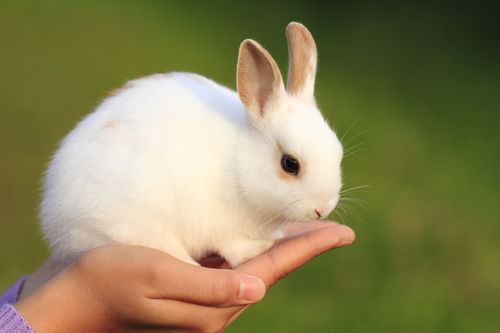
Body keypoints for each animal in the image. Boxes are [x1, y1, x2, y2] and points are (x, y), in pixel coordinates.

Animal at [40, 22, 344, 266]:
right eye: (290, 164)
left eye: (338, 154)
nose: (322, 209)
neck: (238, 163)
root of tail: (55, 214)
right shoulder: (216, 226)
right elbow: (231, 248)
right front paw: (258, 249)